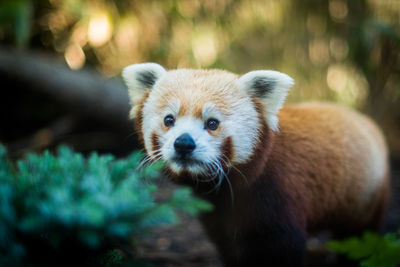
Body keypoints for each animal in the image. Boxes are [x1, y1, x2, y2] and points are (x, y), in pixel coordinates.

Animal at [120, 63, 390, 266]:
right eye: (169, 120)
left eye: (212, 123)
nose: (184, 143)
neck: (227, 190)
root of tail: (366, 121)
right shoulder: (218, 215)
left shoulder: (278, 193)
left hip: (365, 196)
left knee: (358, 234)